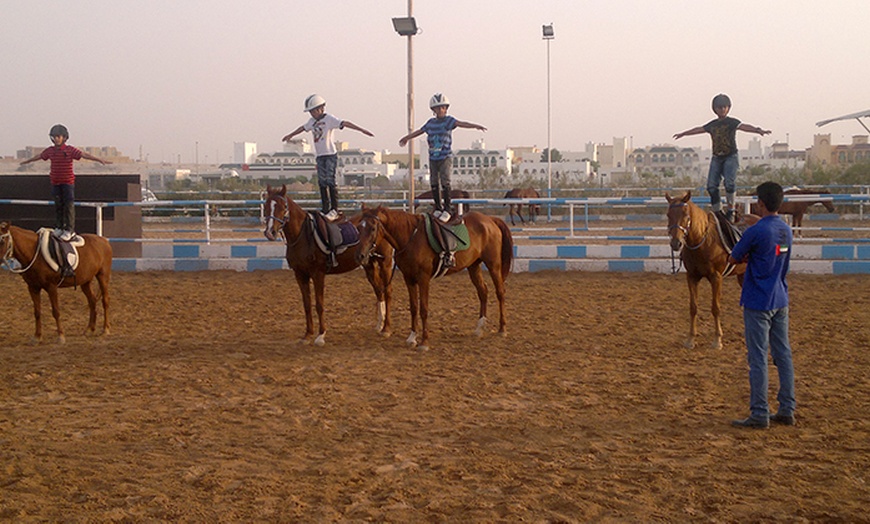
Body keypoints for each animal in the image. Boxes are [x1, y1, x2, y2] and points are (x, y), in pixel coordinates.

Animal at [258, 184, 396, 344]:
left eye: (283, 206)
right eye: (267, 205)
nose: (270, 232)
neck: (303, 236)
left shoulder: (318, 274)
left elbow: (319, 304)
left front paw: (320, 335)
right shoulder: (300, 274)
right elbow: (307, 304)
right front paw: (307, 335)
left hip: (385, 263)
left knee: (388, 291)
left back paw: (386, 329)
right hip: (369, 264)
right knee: (379, 290)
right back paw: (380, 324)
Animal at [356, 207, 516, 350]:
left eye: (372, 228)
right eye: (359, 228)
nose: (361, 255)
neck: (411, 237)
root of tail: (490, 219)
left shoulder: (423, 279)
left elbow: (424, 309)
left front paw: (424, 342)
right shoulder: (409, 278)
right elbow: (414, 307)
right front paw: (412, 338)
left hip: (493, 265)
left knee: (500, 292)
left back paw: (502, 328)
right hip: (473, 266)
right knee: (483, 292)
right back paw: (479, 328)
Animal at [668, 193, 756, 352]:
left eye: (685, 214)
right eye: (668, 215)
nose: (676, 243)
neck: (703, 241)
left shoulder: (716, 278)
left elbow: (715, 308)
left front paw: (717, 340)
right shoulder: (692, 277)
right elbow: (693, 307)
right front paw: (690, 339)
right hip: (742, 275)